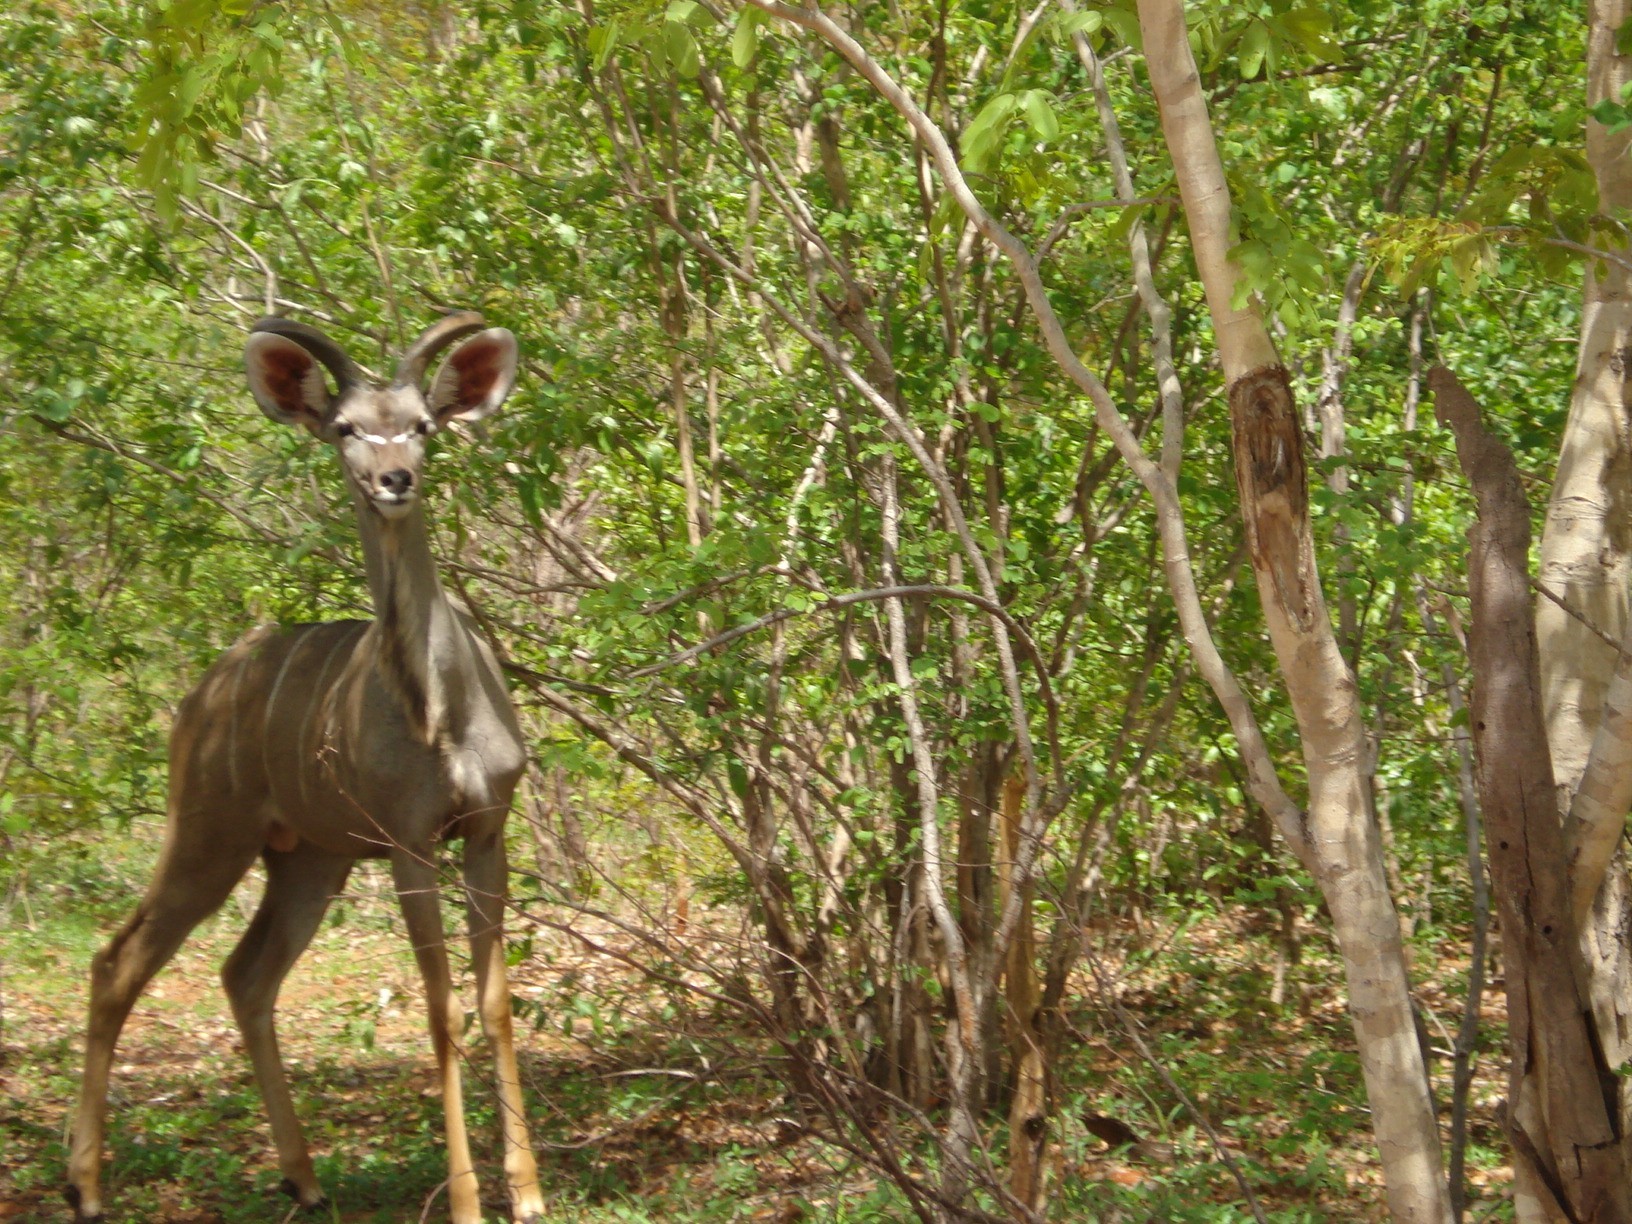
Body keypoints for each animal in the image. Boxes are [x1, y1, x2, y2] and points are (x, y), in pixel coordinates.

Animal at [66, 313, 548, 1224]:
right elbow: (439, 1009)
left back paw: (305, 1177)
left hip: (307, 859)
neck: (442, 716)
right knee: (118, 961)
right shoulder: (408, 844)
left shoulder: (486, 830)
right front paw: (469, 1203)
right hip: (209, 835)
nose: (395, 478)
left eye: (423, 424)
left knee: (244, 973)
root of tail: (203, 693)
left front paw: (532, 1194)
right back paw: (85, 1188)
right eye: (346, 428)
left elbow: (495, 1002)